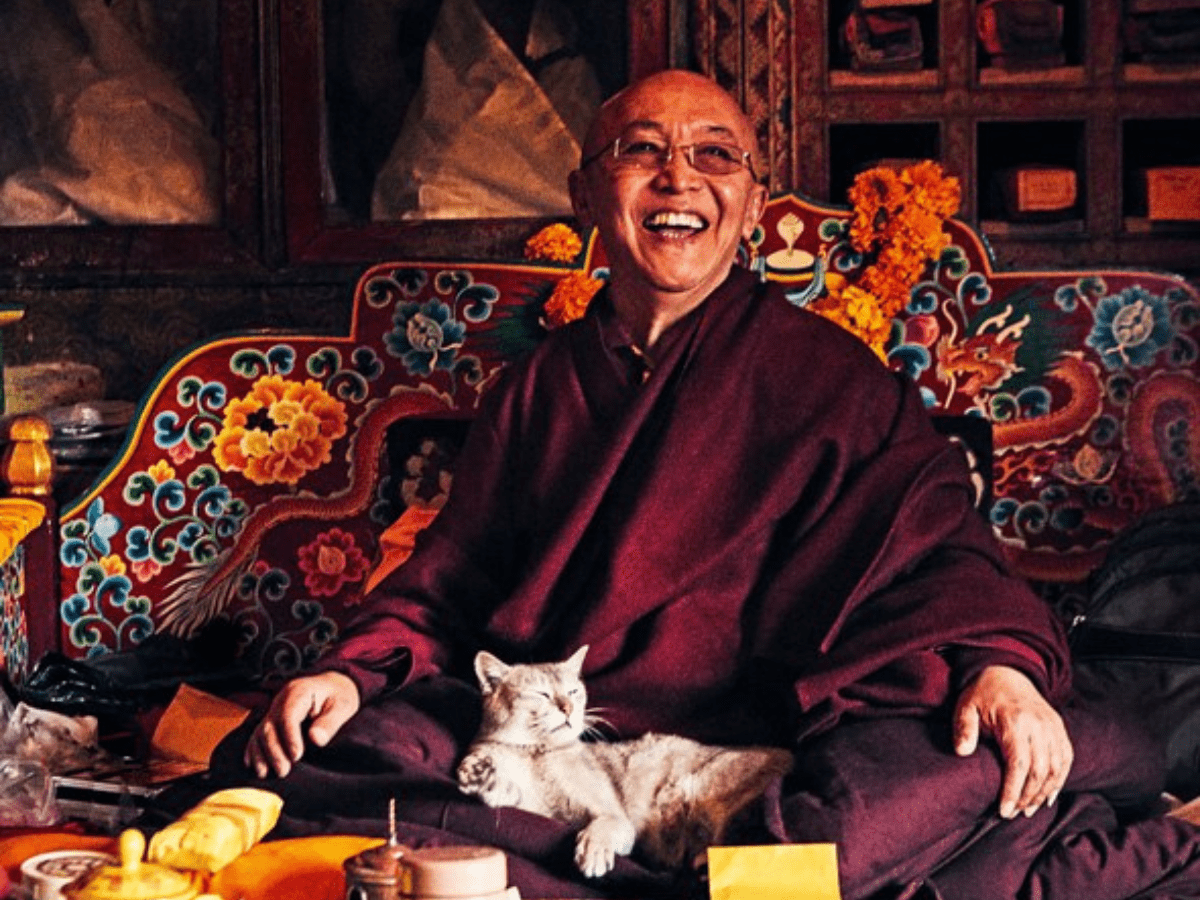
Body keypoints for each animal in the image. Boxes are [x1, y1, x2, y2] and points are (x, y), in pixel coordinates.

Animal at [455, 646, 793, 878]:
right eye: (541, 694)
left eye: (573, 692)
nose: (568, 709)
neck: (537, 753)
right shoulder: (536, 809)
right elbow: (507, 792)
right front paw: (480, 777)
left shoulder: (613, 814)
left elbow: (605, 823)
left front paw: (593, 850)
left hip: (708, 794)